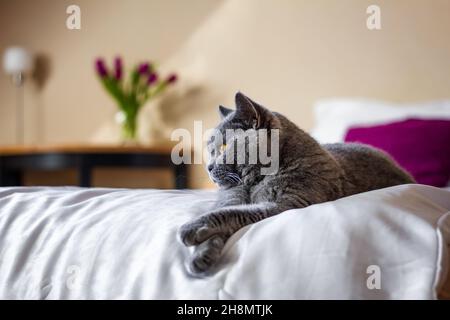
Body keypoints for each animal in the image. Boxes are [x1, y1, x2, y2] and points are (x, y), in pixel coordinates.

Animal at [178, 92, 414, 276]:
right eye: (210, 150)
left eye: (224, 147)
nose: (208, 167)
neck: (256, 181)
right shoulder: (230, 198)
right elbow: (224, 213)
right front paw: (201, 255)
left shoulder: (289, 203)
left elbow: (234, 213)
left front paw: (190, 228)